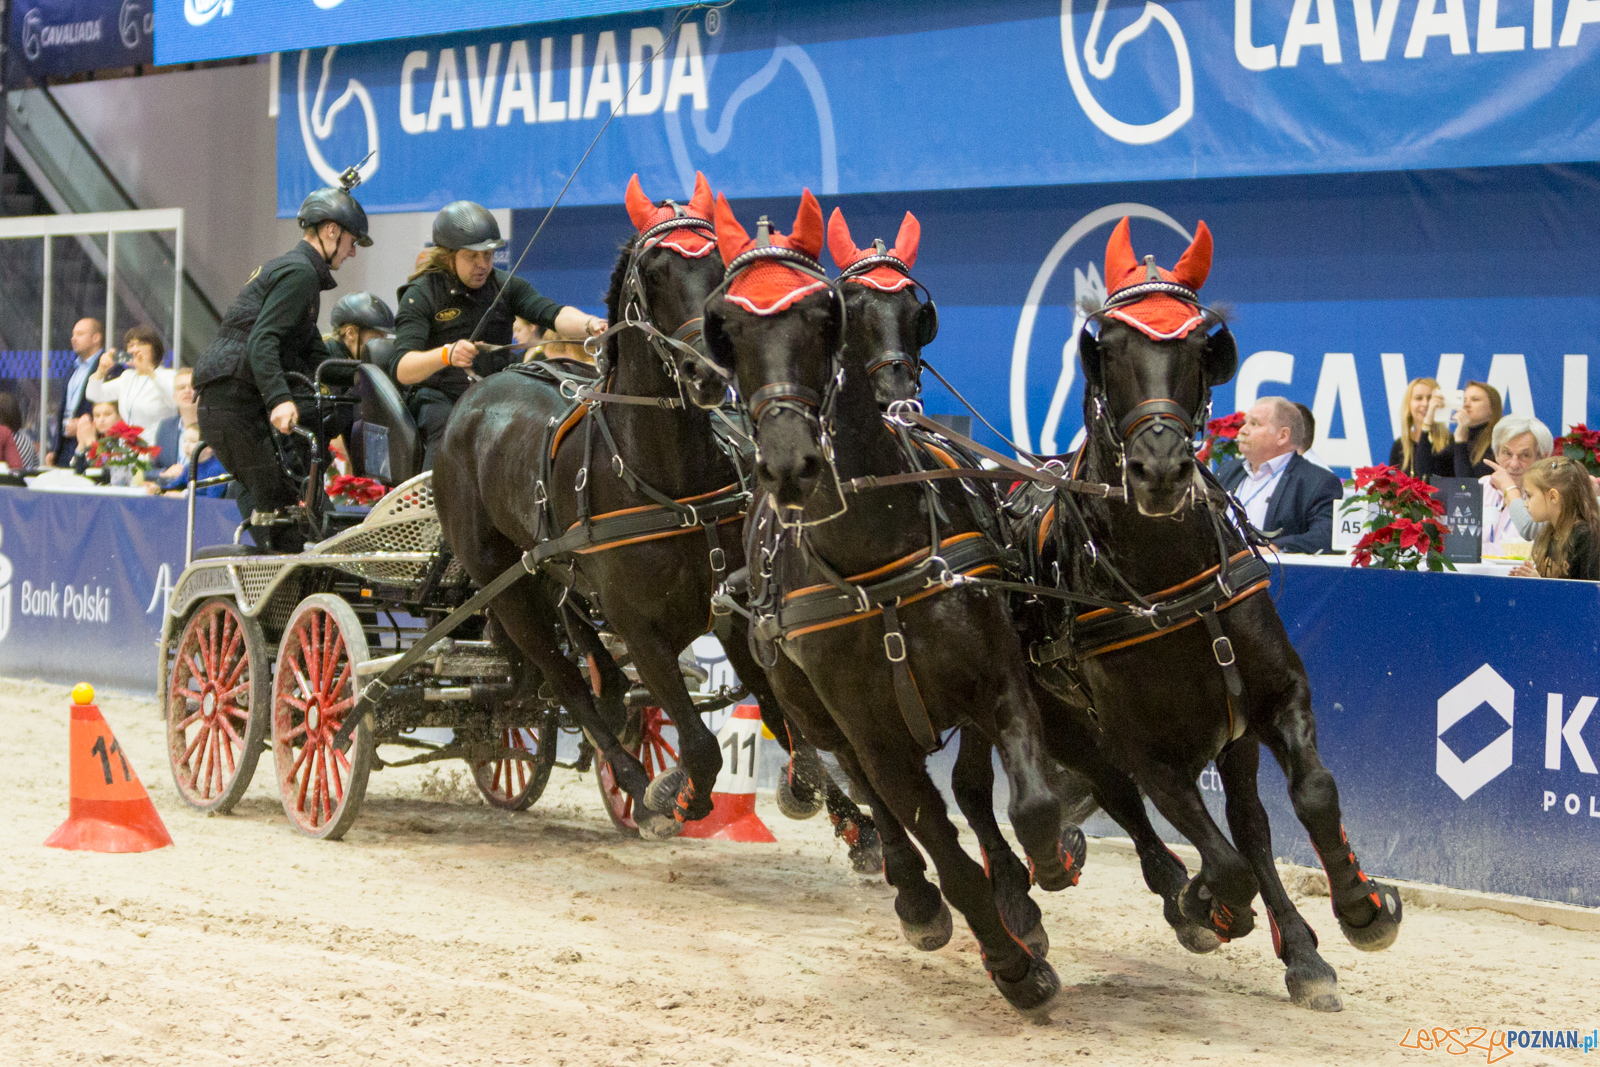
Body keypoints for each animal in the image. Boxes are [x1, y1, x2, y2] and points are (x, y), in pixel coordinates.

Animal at [704, 189, 1071, 1017]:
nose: (789, 463)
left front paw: (1037, 877)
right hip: (813, 710)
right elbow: (935, 841)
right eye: (728, 327)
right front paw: (1012, 965)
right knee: (874, 802)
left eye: (821, 315)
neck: (877, 550)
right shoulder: (869, 730)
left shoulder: (995, 680)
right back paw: (915, 896)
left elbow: (1013, 800)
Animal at [1020, 217, 1403, 1011]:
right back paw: (1184, 896)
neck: (1168, 581)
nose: (1161, 469)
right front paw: (1205, 903)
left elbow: (1312, 796)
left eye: (1199, 348)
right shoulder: (1146, 749)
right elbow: (1214, 857)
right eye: (1110, 347)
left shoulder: (1276, 697)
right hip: (1071, 725)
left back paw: (1303, 953)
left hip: (1232, 735)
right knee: (1130, 806)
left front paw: (1361, 907)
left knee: (1251, 824)